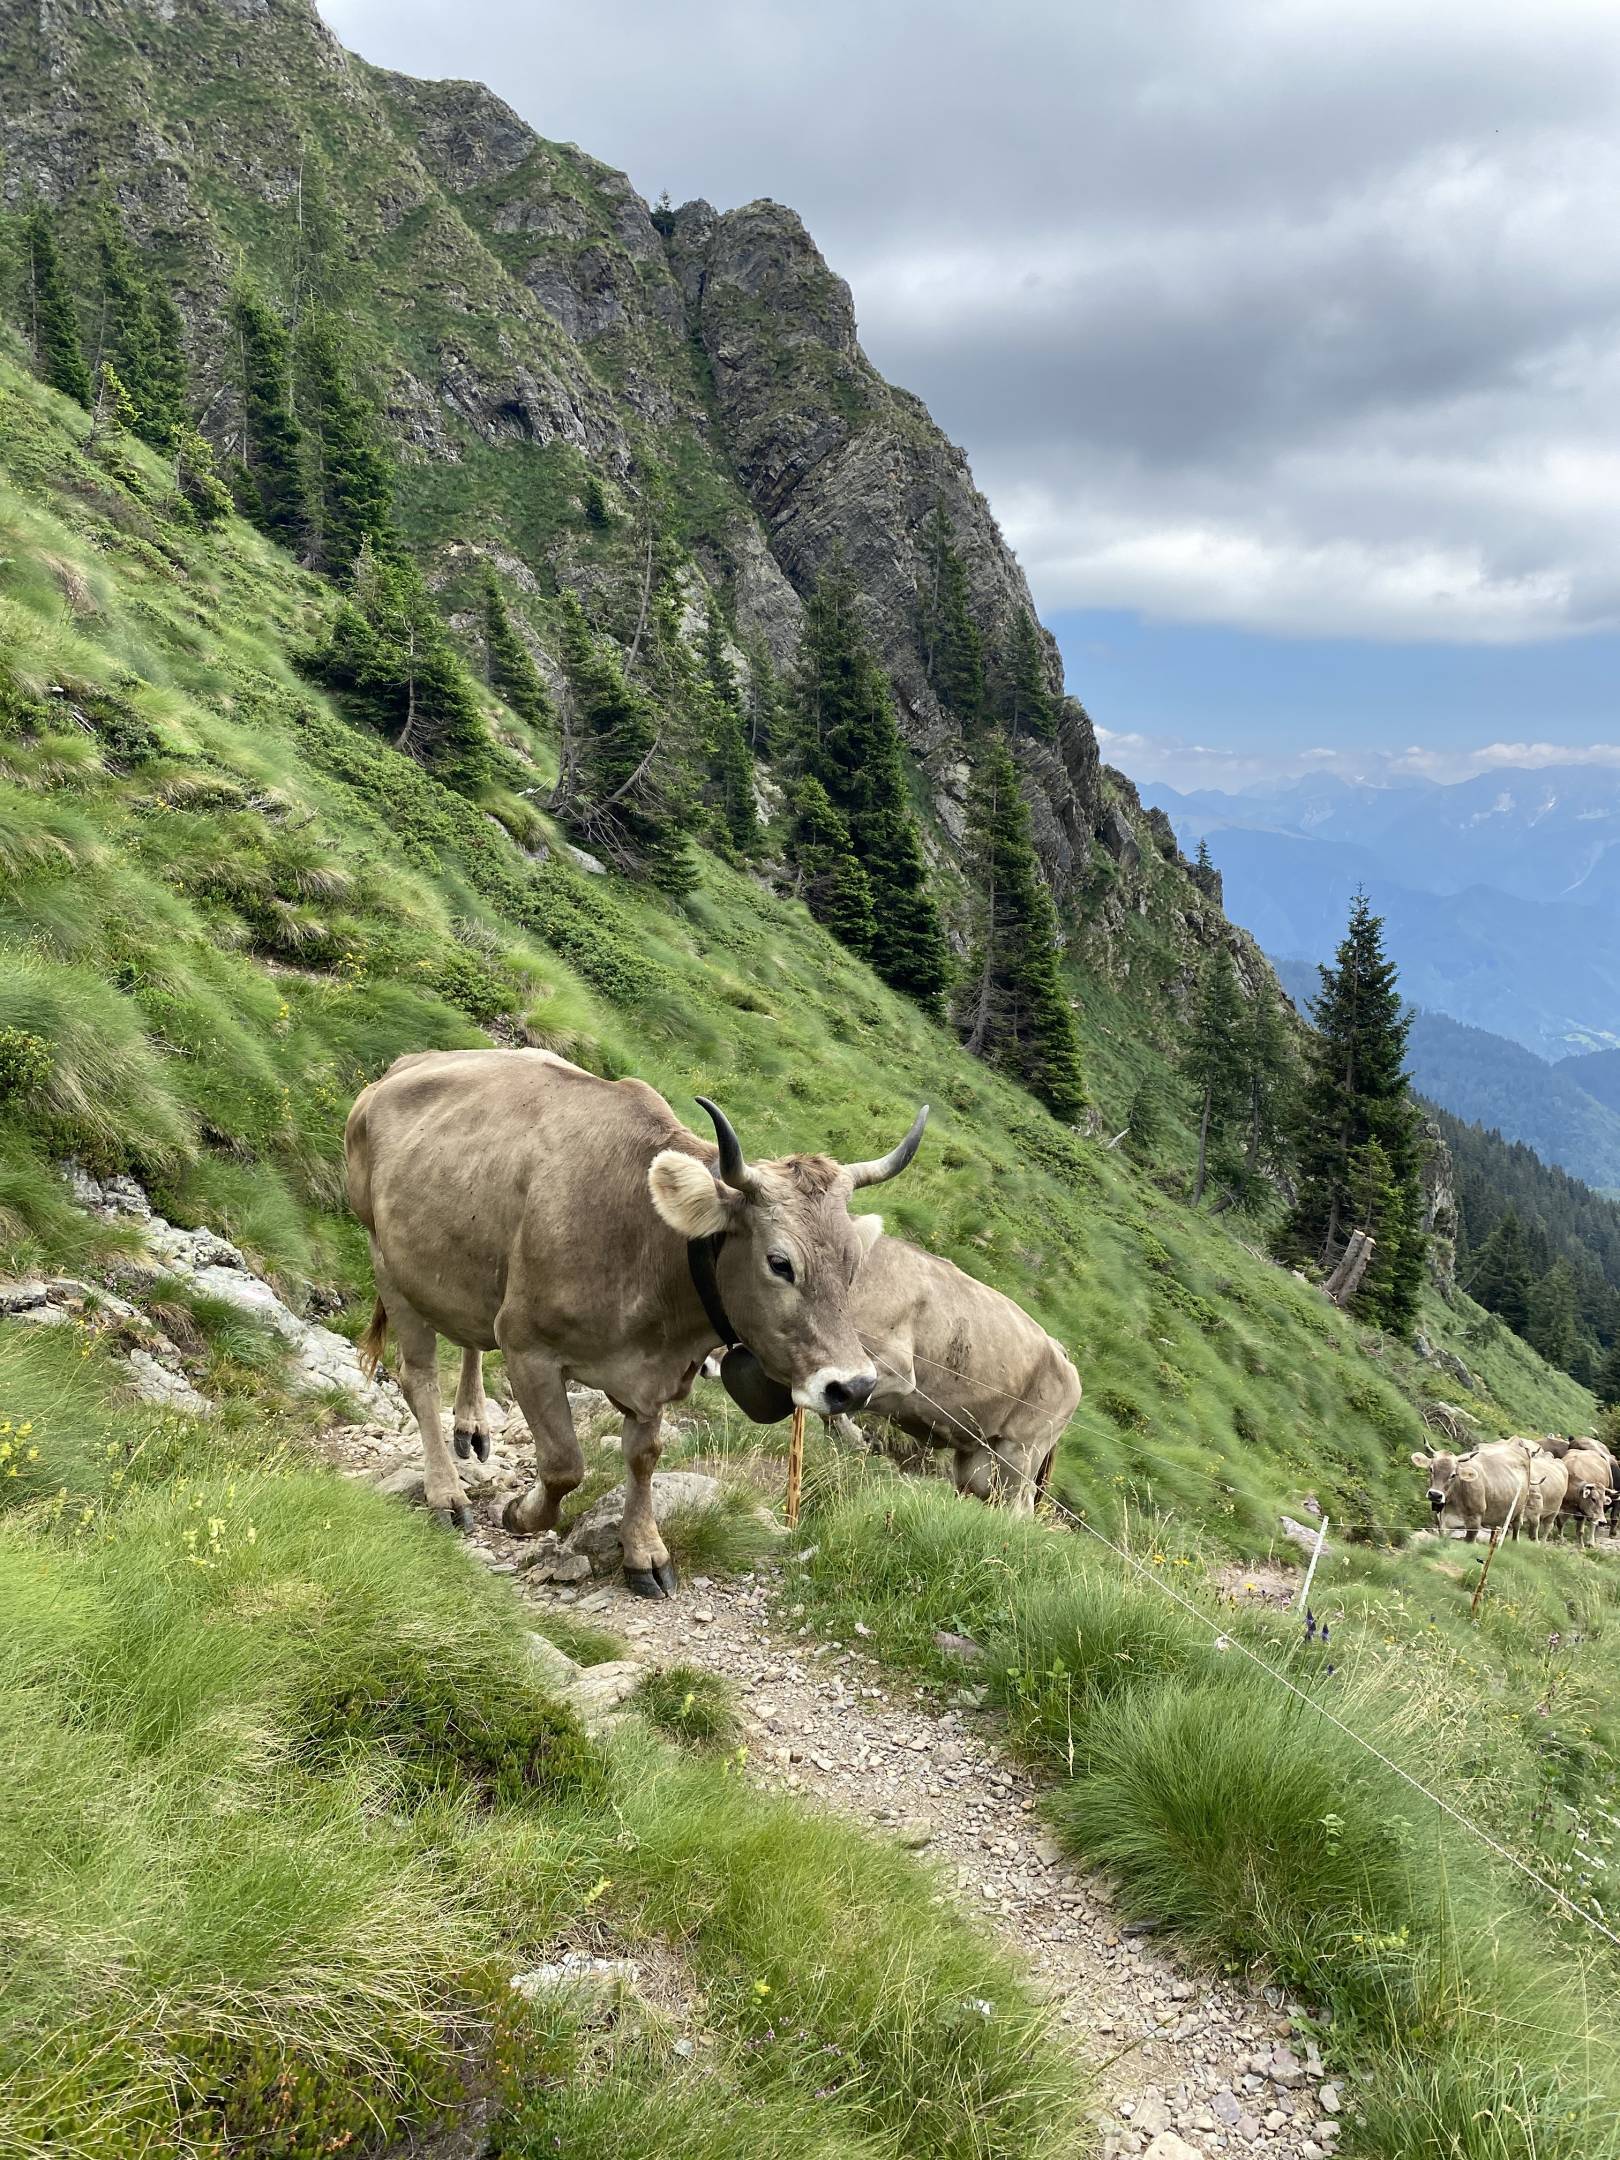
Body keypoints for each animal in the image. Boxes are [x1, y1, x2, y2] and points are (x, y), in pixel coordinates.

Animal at [345, 1054, 924, 1598]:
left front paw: (644, 1551)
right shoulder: (527, 1346)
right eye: (780, 1263)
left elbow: (643, 1458)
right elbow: (563, 1464)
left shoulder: (653, 1377)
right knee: (418, 1377)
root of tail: (398, 1070)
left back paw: (472, 1424)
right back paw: (446, 1493)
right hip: (386, 1258)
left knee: (469, 1339)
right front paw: (521, 1514)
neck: (644, 1236)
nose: (854, 1386)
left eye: (853, 1264)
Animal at [825, 1235, 1080, 1520]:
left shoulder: (897, 1371)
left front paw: (858, 1438)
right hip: (980, 1456)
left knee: (1018, 1508)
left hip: (1020, 1451)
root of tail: (1062, 1352)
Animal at [1408, 1442, 1537, 1546]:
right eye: (1431, 1469)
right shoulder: (1442, 1522)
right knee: (1495, 1530)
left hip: (1521, 1507)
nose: (1435, 1495)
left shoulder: (1475, 1520)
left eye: (1453, 1475)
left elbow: (1469, 1541)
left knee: (1516, 1525)